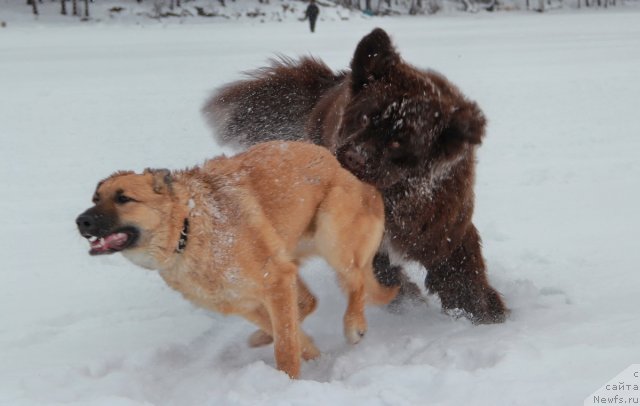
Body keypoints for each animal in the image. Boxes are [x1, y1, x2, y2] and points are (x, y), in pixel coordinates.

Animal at [76, 141, 400, 380]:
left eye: (123, 199)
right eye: (95, 198)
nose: (81, 221)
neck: (188, 230)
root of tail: (344, 167)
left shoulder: (275, 281)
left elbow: (285, 344)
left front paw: (287, 382)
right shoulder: (245, 300)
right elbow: (288, 332)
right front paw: (310, 355)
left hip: (332, 237)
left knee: (355, 282)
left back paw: (354, 325)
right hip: (289, 258)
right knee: (309, 301)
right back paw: (264, 336)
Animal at [202, 27, 508, 324]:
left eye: (398, 142)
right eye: (364, 118)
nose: (354, 157)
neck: (393, 196)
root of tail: (340, 78)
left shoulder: (444, 227)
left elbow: (462, 272)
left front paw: (484, 313)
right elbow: (379, 266)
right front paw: (405, 298)